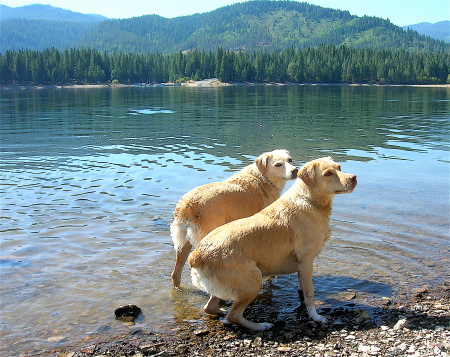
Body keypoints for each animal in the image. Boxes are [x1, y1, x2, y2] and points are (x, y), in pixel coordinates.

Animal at [171, 149, 298, 286]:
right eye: (278, 164)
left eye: (290, 160)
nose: (295, 170)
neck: (262, 177)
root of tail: (187, 204)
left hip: (183, 242)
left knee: (176, 273)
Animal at [188, 157, 356, 330]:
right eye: (328, 174)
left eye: (339, 167)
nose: (353, 178)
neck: (309, 200)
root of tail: (197, 255)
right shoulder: (306, 261)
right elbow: (310, 294)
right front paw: (315, 316)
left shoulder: (301, 266)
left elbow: (302, 286)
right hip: (253, 280)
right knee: (234, 315)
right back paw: (260, 326)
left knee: (210, 307)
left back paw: (221, 311)